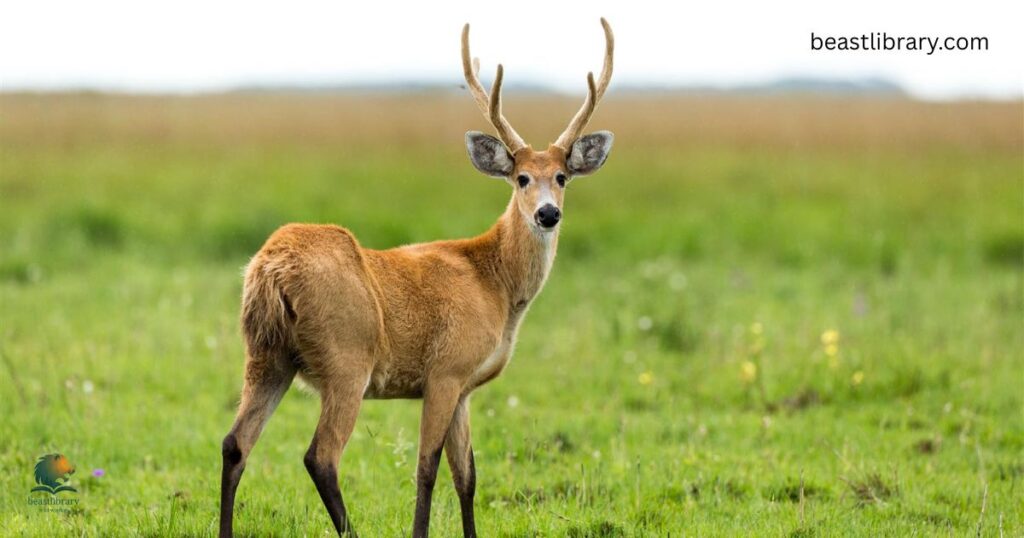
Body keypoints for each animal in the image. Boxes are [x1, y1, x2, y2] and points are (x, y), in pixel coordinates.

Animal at [218, 18, 614, 538]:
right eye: (522, 178)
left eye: (563, 176)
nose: (548, 214)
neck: (495, 283)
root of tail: (270, 268)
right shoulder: (444, 371)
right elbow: (427, 468)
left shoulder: (465, 387)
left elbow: (468, 474)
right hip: (347, 357)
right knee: (320, 456)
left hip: (266, 354)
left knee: (235, 444)